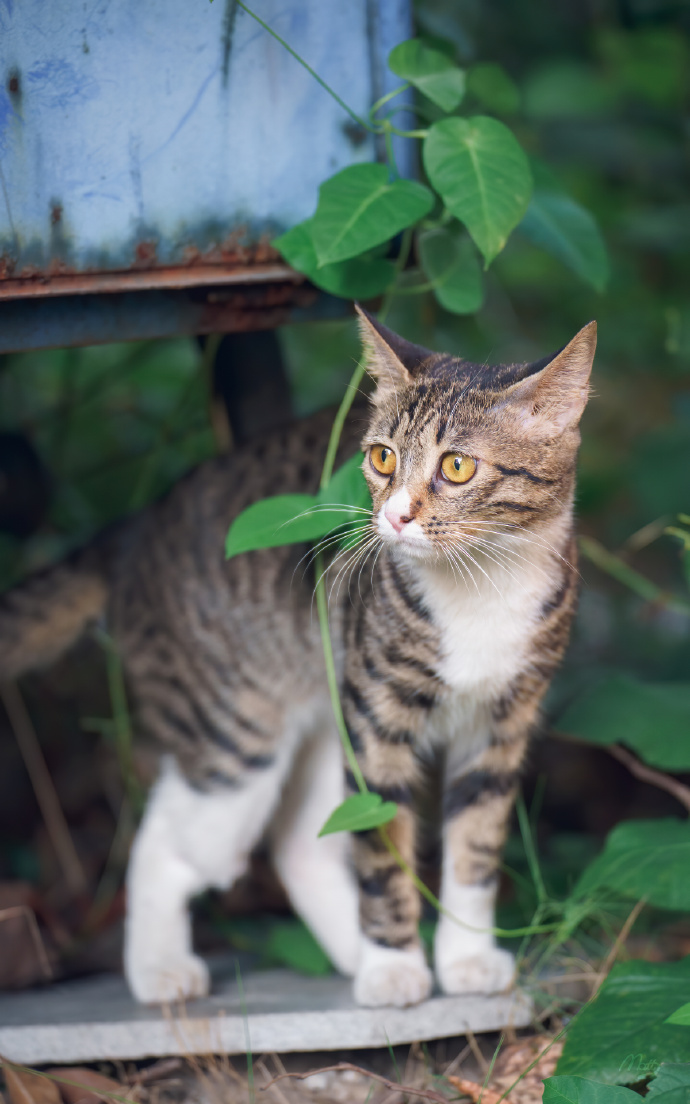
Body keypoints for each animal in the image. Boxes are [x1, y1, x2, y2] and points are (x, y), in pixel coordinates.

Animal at [0, 309, 596, 1011]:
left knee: (297, 844)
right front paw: (393, 965)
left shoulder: (504, 719)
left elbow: (476, 842)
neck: (482, 589)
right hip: (237, 721)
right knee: (172, 837)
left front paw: (466, 959)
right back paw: (161, 969)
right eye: (382, 457)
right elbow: (380, 844)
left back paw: (349, 951)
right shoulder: (376, 713)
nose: (395, 516)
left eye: (456, 466)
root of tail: (135, 529)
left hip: (324, 704)